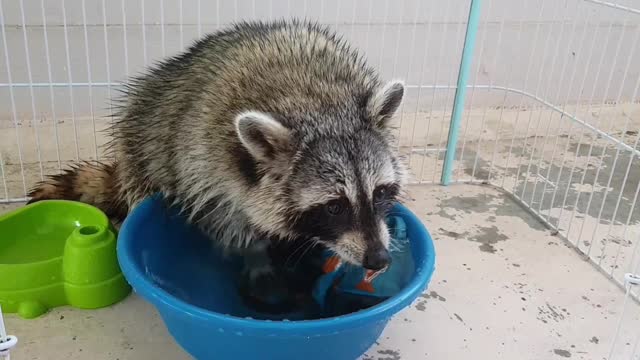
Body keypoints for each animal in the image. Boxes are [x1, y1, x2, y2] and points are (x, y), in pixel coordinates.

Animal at [28, 19, 404, 296]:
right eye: (334, 207)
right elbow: (226, 219)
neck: (319, 104)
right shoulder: (205, 159)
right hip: (141, 139)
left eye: (380, 193)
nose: (378, 258)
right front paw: (256, 256)